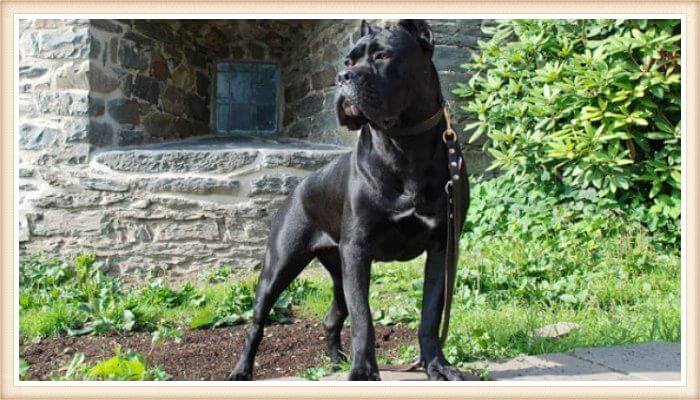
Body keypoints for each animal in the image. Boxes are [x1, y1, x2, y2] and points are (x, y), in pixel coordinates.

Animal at [230, 19, 470, 382]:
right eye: (348, 60)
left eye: (383, 56)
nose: (343, 77)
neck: (405, 145)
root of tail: (298, 188)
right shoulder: (358, 249)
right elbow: (363, 317)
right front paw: (363, 372)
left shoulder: (442, 248)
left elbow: (429, 315)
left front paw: (436, 366)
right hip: (281, 265)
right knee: (256, 322)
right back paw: (241, 371)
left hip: (337, 268)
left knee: (332, 317)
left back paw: (336, 361)